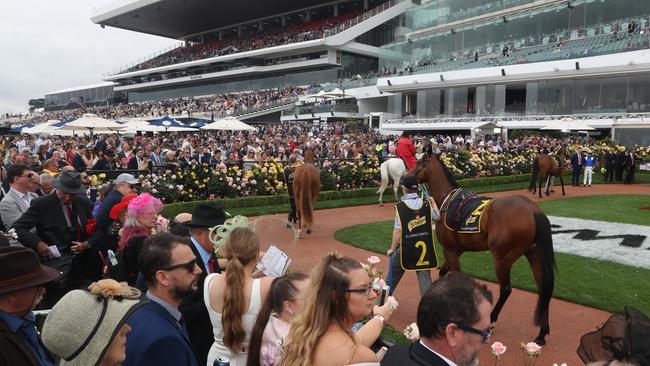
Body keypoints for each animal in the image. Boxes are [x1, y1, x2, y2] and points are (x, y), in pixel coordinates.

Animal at [412, 147, 556, 344]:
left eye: (418, 164)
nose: (404, 178)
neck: (445, 200)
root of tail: (533, 210)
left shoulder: (450, 250)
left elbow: (455, 278)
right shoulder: (454, 250)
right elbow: (443, 273)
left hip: (502, 257)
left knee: (506, 289)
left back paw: (491, 323)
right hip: (534, 254)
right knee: (544, 289)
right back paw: (542, 332)